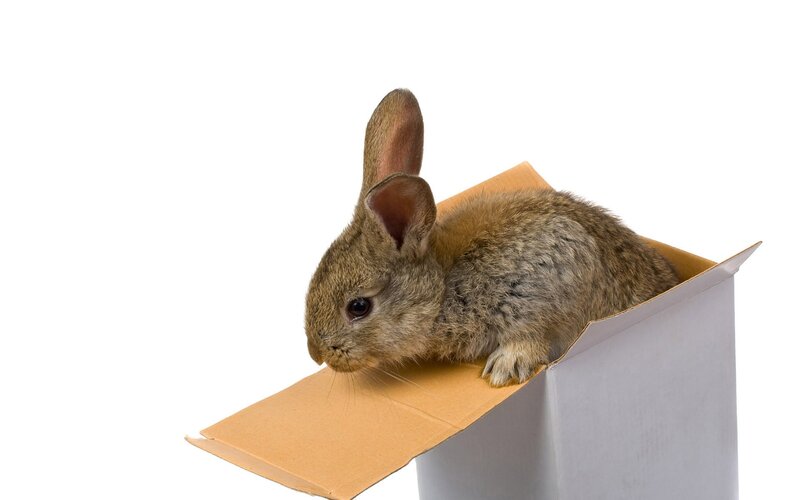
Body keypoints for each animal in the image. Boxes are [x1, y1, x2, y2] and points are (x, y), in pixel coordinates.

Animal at [304, 89, 678, 387]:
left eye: (358, 307)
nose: (317, 354)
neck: (442, 288)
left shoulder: (548, 279)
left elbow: (535, 335)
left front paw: (505, 368)